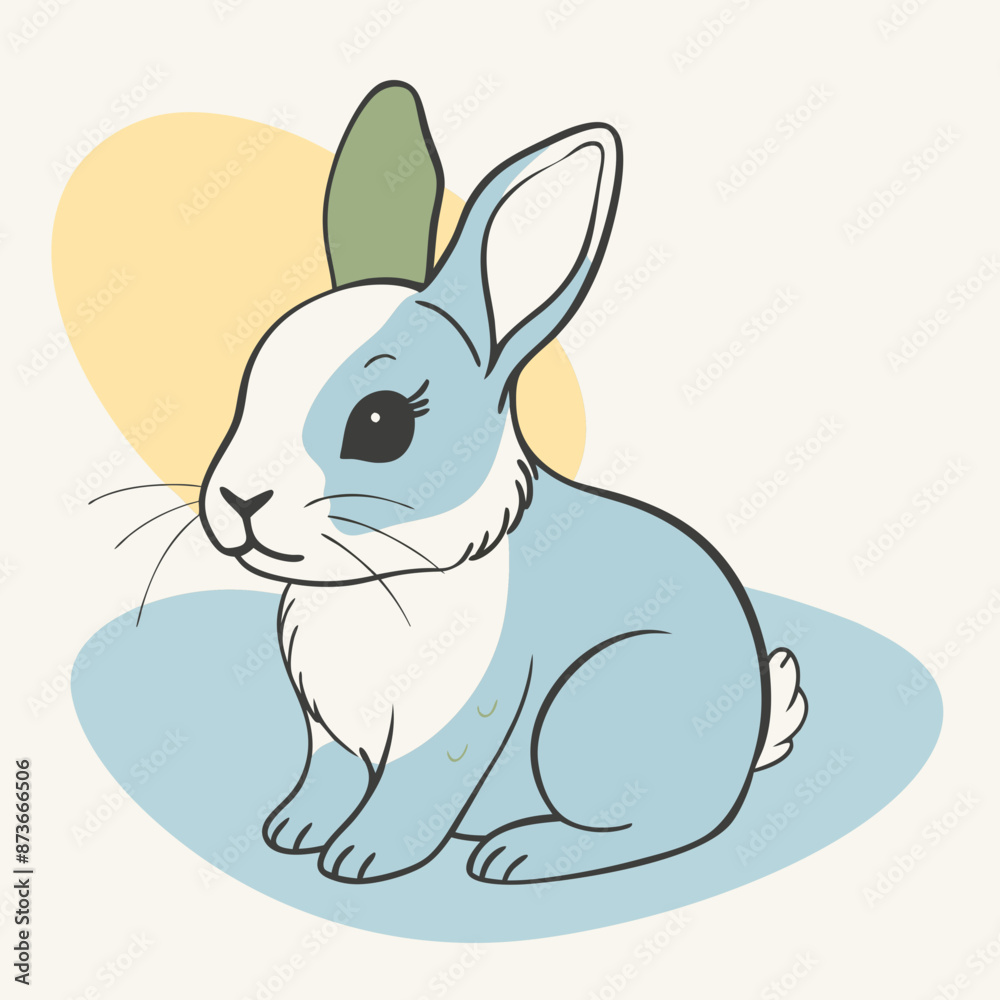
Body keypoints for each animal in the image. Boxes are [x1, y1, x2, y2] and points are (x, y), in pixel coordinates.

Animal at [200, 83, 807, 885]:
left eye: (381, 422)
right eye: (251, 380)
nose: (239, 502)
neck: (385, 574)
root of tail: (745, 750)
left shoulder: (458, 721)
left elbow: (419, 788)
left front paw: (361, 859)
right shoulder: (329, 732)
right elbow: (325, 776)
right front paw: (293, 830)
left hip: (592, 712)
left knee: (663, 829)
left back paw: (517, 854)